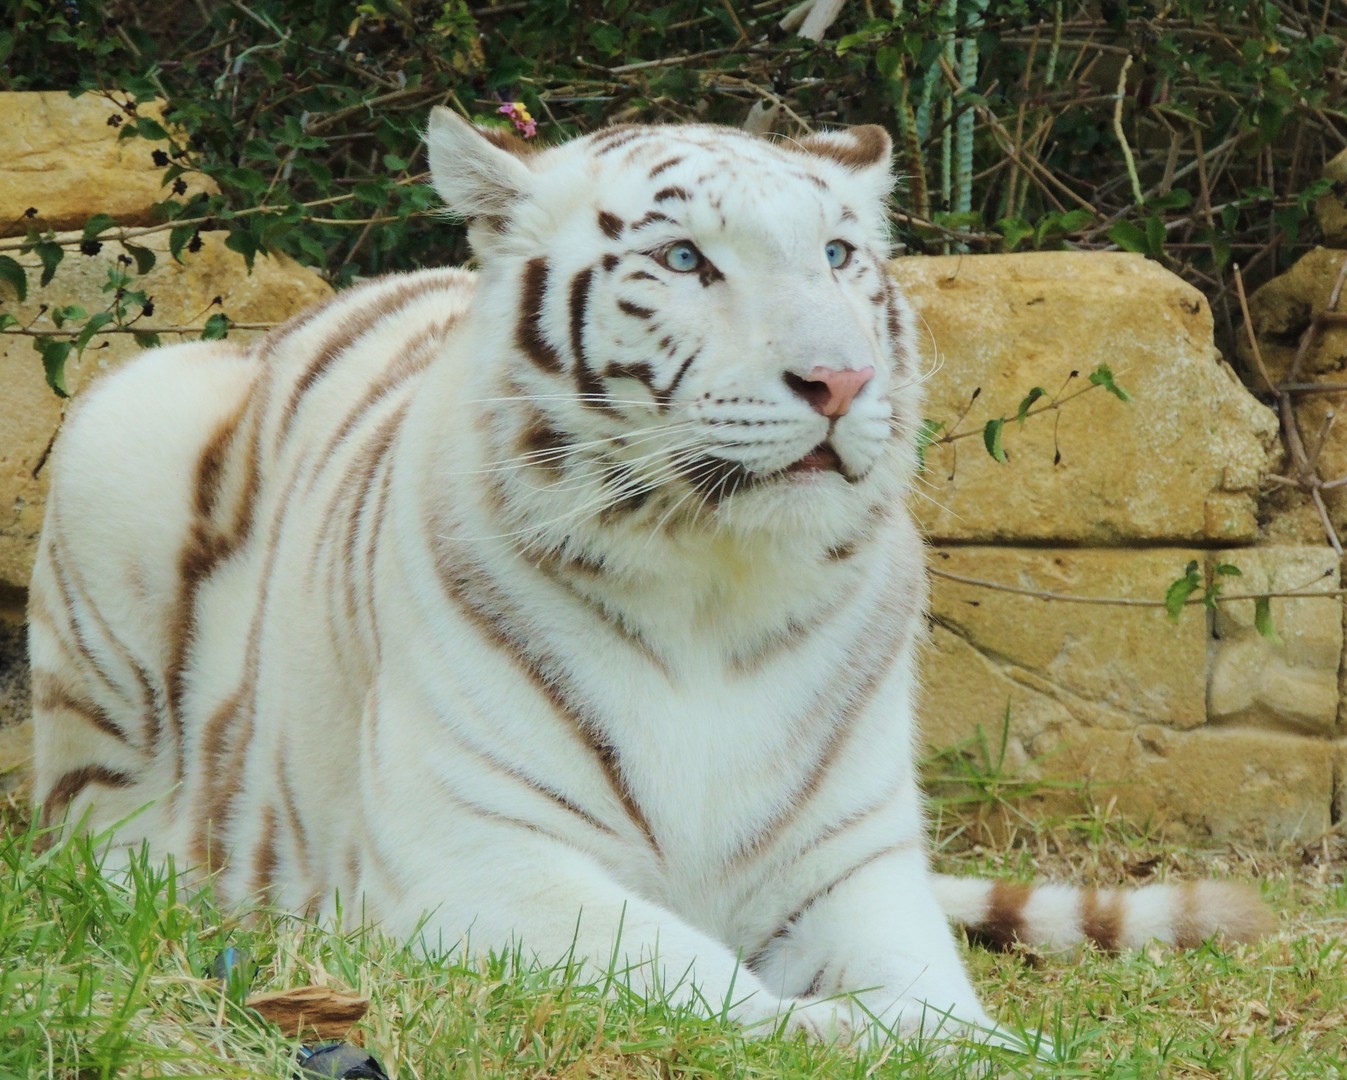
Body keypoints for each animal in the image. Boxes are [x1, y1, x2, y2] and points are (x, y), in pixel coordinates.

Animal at [34, 107, 1271, 1044]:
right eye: (685, 261)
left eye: (837, 256)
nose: (841, 380)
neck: (714, 585)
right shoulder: (477, 855)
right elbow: (705, 982)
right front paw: (842, 1035)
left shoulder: (853, 865)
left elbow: (933, 996)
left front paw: (975, 1045)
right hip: (122, 430)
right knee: (81, 823)